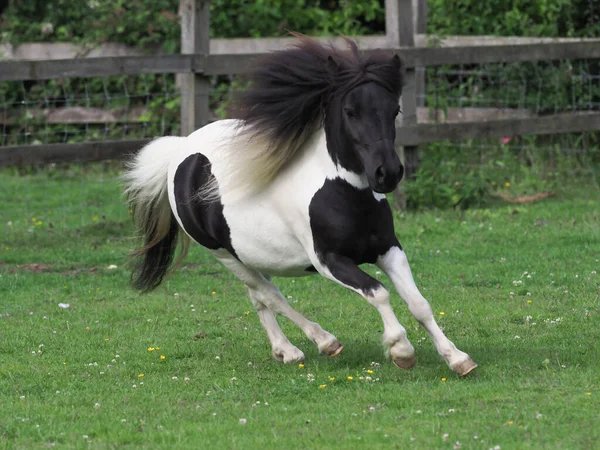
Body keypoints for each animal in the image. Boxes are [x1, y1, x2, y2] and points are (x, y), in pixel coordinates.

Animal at [123, 35, 478, 376]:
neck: (344, 194)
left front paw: (458, 359)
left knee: (260, 297)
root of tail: (180, 151)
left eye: (395, 110)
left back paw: (285, 350)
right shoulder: (329, 260)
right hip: (223, 255)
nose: (387, 173)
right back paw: (322, 343)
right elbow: (378, 292)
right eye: (350, 111)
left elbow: (419, 303)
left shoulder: (389, 249)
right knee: (271, 295)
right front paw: (401, 350)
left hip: (249, 254)